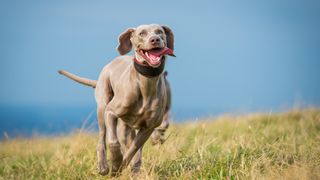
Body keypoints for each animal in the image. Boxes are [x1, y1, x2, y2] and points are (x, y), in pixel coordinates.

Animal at [60, 23, 175, 176]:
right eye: (142, 33)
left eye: (160, 31)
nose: (155, 39)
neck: (145, 83)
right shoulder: (110, 112)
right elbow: (113, 142)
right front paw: (115, 163)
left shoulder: (148, 127)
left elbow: (133, 150)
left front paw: (121, 166)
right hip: (103, 105)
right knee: (102, 137)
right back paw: (103, 165)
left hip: (129, 125)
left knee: (133, 147)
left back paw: (134, 170)